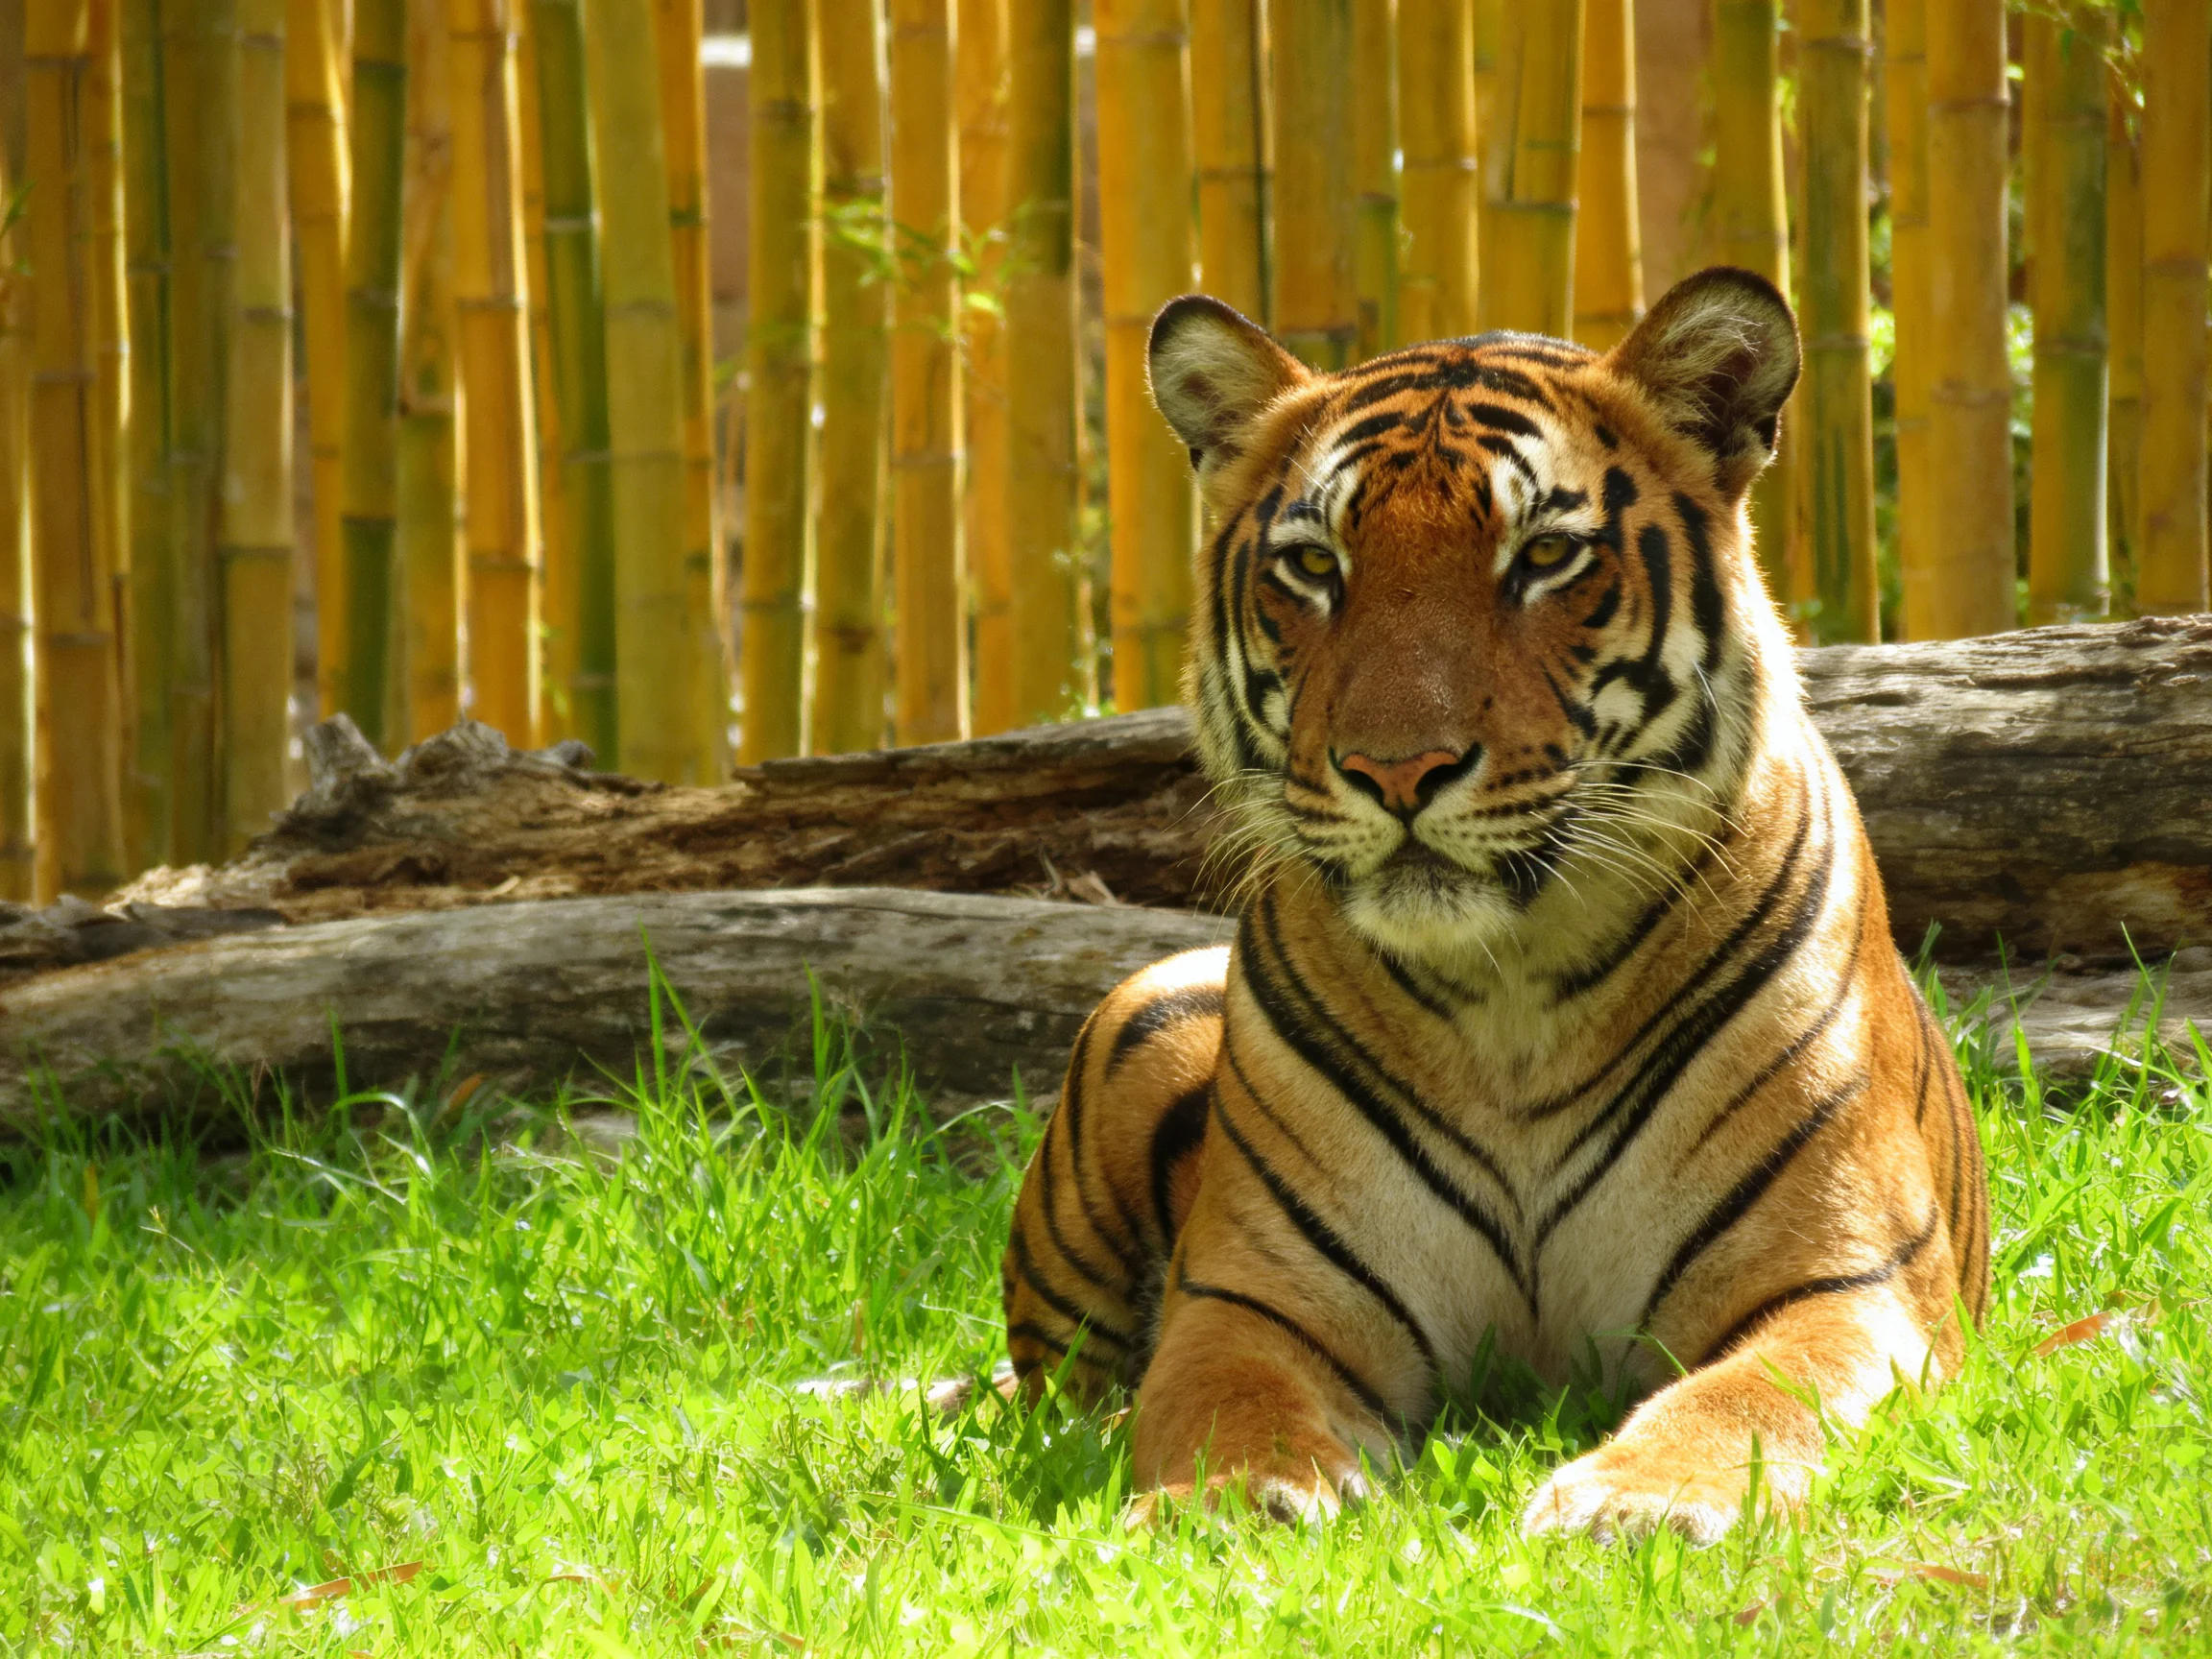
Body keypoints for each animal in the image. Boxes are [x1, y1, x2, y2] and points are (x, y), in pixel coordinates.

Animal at [999, 266, 1989, 1543]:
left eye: (1548, 554)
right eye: (1313, 566)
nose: (1397, 770)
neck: (1510, 990)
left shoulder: (1844, 1276)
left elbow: (1753, 1395)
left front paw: (1638, 1500)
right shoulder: (1259, 1297)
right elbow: (1224, 1397)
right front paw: (1228, 1501)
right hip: (1141, 1016)